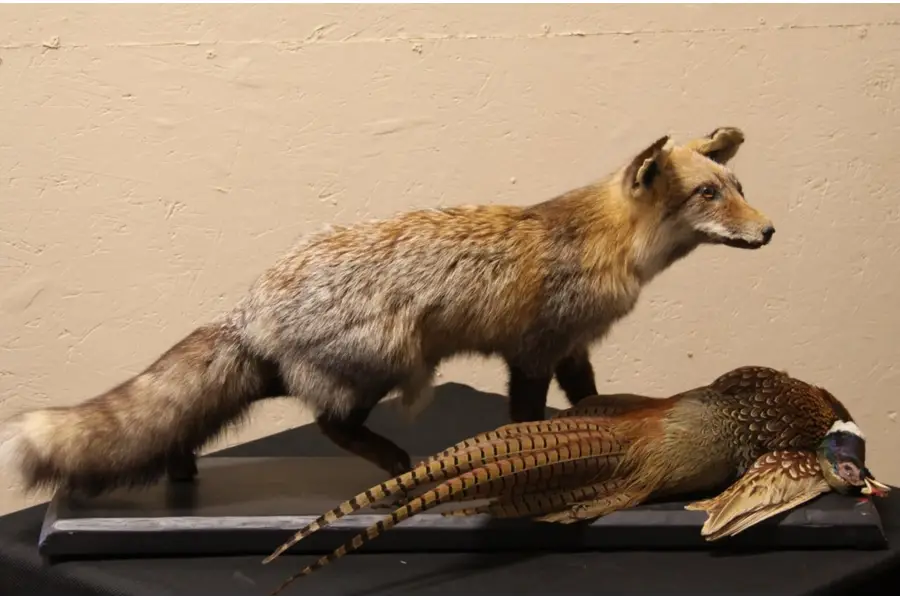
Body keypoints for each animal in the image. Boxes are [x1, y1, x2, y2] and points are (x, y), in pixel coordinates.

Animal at [0, 126, 774, 497]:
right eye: (708, 195)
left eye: (738, 186)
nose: (769, 231)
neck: (603, 242)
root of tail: (253, 302)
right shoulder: (530, 349)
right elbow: (526, 416)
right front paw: (534, 454)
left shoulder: (572, 344)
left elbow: (586, 397)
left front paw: (599, 424)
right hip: (386, 364)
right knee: (327, 423)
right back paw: (396, 461)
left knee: (190, 423)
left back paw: (181, 472)